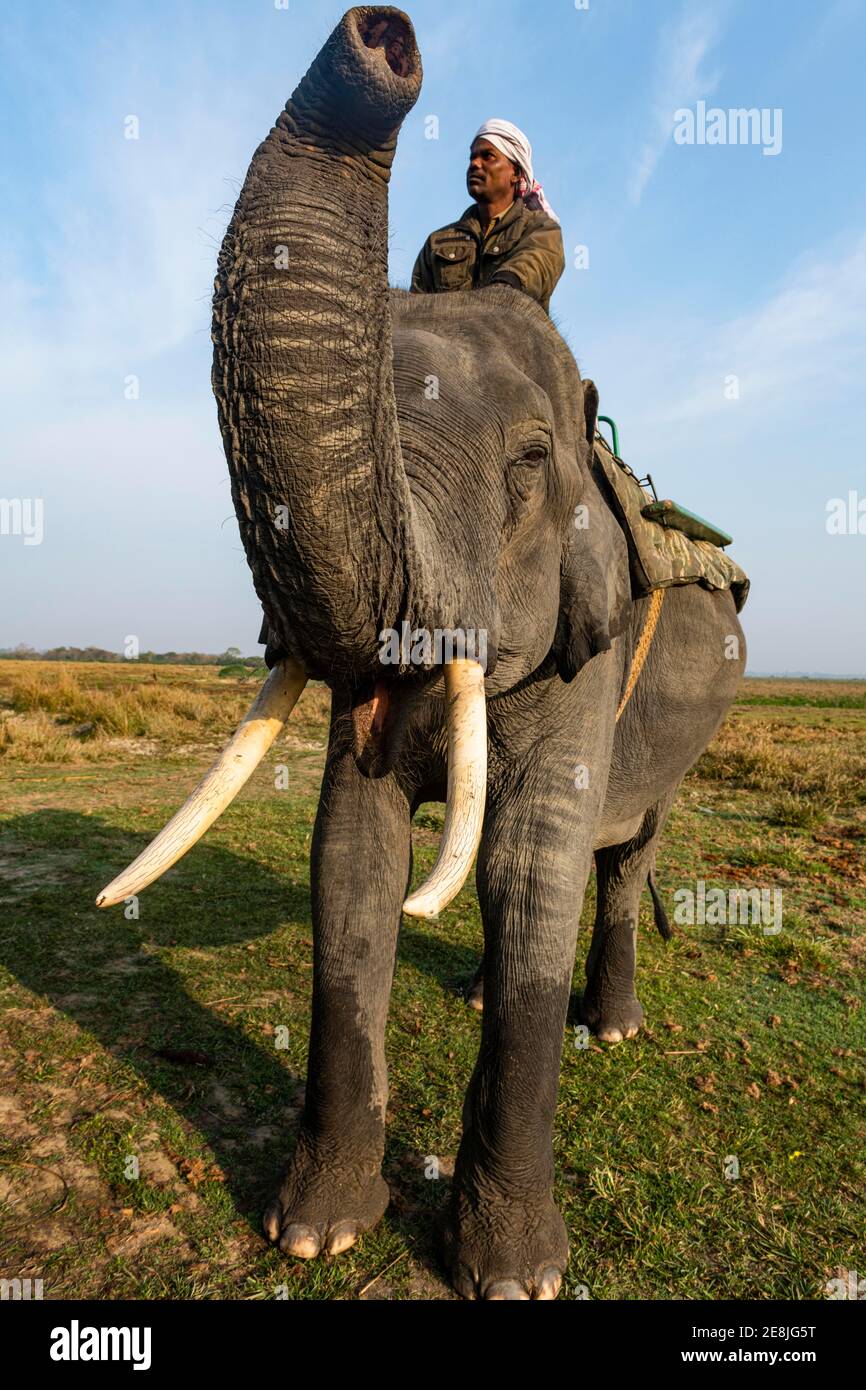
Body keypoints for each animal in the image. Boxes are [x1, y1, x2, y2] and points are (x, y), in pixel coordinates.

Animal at [97, 6, 746, 1300]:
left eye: (529, 465)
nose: (385, 38)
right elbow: (351, 854)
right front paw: (312, 1233)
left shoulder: (585, 642)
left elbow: (528, 865)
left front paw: (512, 1277)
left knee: (617, 857)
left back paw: (610, 1026)